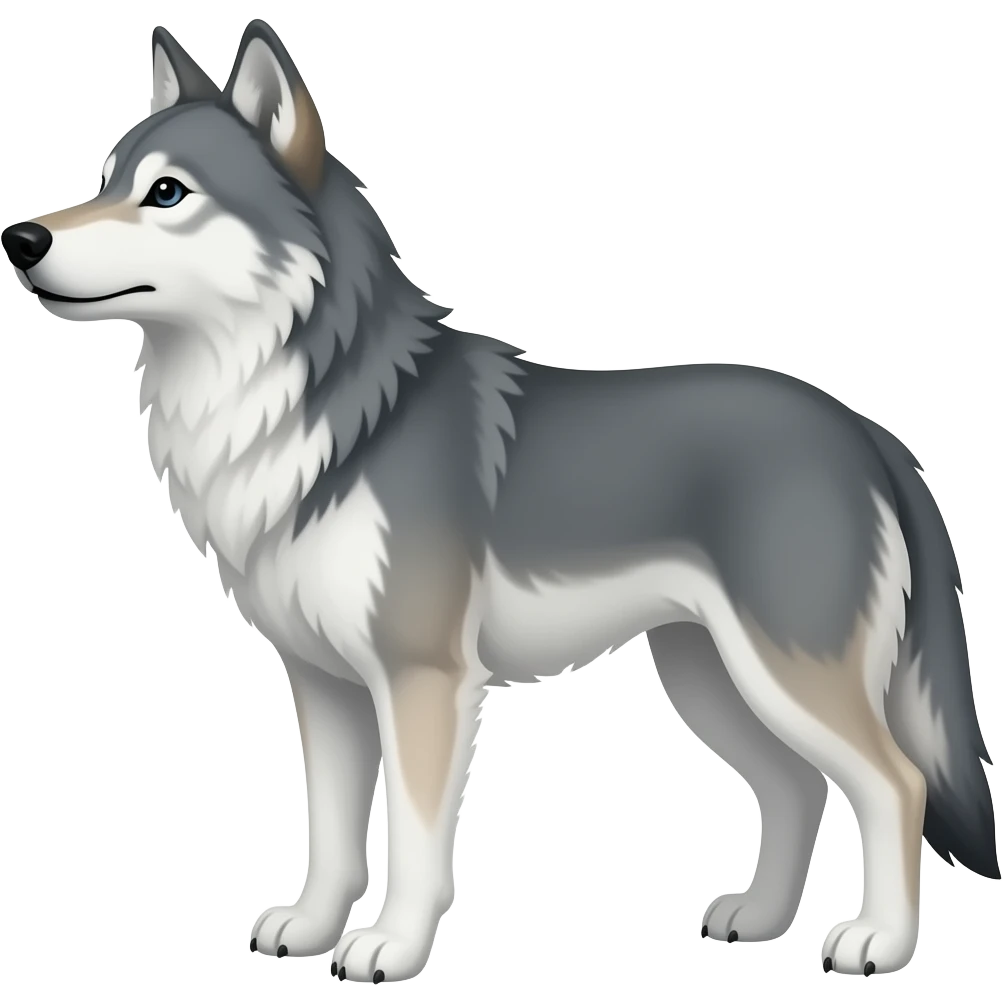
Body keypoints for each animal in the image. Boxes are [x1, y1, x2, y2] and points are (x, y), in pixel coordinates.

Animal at [2, 18, 995, 984]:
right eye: (105, 181)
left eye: (167, 194)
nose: (21, 237)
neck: (317, 415)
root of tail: (866, 432)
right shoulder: (324, 687)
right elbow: (329, 836)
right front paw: (313, 929)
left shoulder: (421, 681)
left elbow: (411, 840)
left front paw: (391, 948)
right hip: (709, 677)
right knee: (796, 786)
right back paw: (757, 919)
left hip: (781, 674)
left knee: (894, 783)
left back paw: (878, 943)